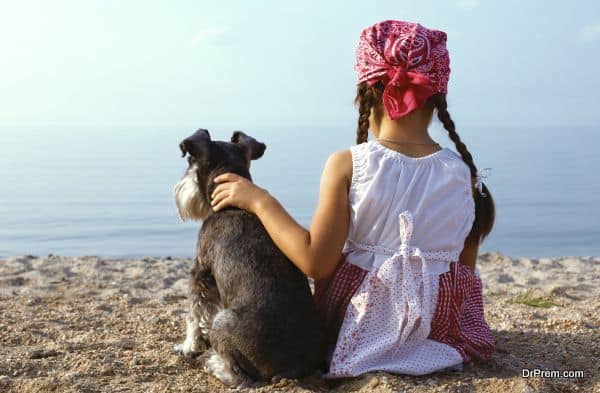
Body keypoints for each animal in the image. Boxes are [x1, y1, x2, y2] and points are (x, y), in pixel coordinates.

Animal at [172, 129, 324, 386]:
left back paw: (210, 362)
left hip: (222, 322)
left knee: (237, 376)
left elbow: (195, 313)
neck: (233, 204)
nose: (179, 190)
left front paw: (188, 346)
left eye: (190, 162)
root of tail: (293, 366)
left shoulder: (201, 272)